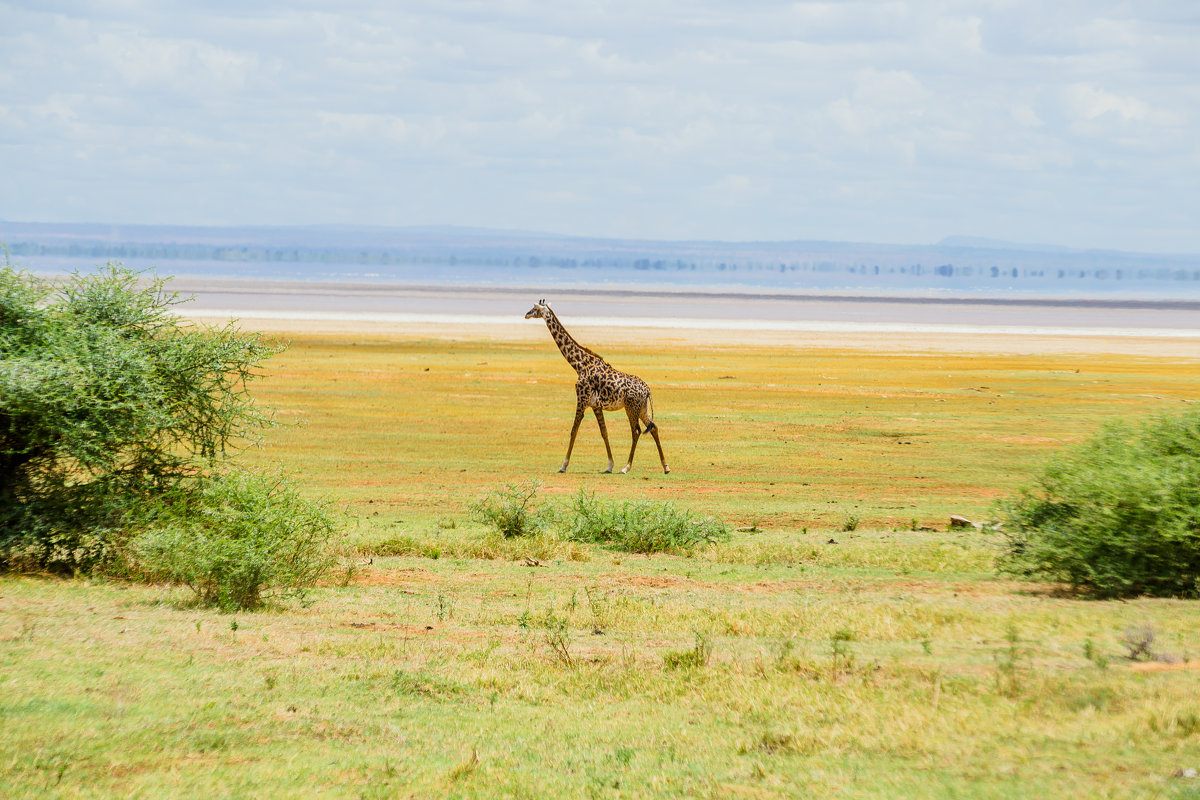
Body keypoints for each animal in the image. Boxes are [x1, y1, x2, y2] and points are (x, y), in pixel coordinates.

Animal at [528, 299, 676, 474]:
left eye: (535, 308)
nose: (526, 314)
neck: (579, 364)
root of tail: (647, 390)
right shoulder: (595, 406)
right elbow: (604, 432)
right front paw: (609, 465)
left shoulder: (582, 400)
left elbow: (573, 431)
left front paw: (563, 466)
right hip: (642, 408)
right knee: (653, 428)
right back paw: (666, 467)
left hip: (631, 407)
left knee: (636, 431)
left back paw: (626, 467)